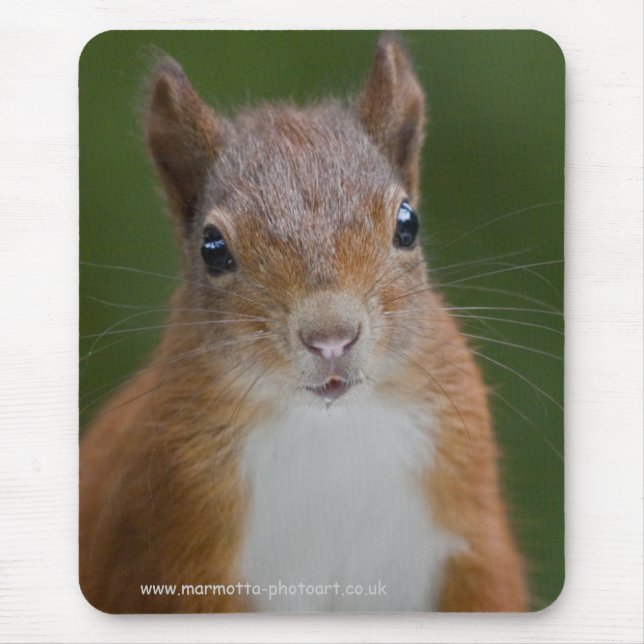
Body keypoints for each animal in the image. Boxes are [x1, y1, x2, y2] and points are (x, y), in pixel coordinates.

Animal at [79, 34, 526, 613]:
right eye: (212, 248)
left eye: (407, 223)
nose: (330, 337)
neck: (327, 434)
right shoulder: (176, 556)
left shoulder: (473, 543)